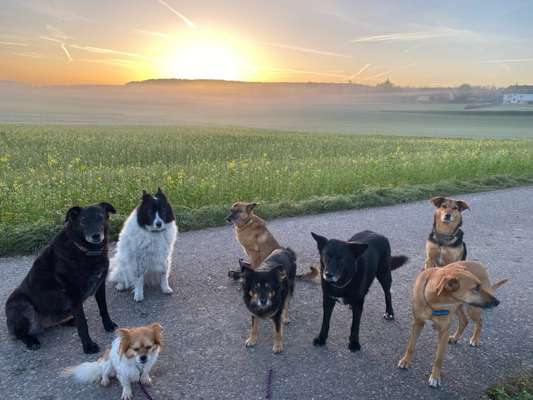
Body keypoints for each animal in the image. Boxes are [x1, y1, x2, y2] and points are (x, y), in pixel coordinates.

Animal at [5, 203, 117, 354]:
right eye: (83, 221)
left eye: (100, 217)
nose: (96, 236)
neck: (84, 250)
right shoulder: (74, 295)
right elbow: (83, 325)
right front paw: (88, 346)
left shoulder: (100, 286)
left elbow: (103, 309)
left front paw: (108, 325)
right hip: (23, 305)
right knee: (21, 334)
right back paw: (31, 341)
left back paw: (70, 321)